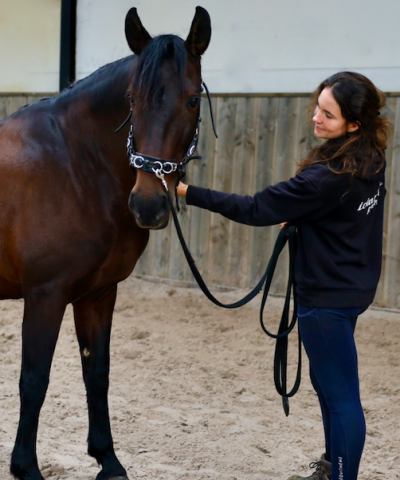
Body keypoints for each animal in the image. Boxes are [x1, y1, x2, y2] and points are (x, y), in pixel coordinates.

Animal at [0, 7, 212, 480]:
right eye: (132, 99)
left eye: (192, 100)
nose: (148, 204)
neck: (74, 163)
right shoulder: (45, 294)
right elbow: (34, 379)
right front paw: (26, 467)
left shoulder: (98, 293)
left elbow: (96, 373)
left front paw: (108, 459)